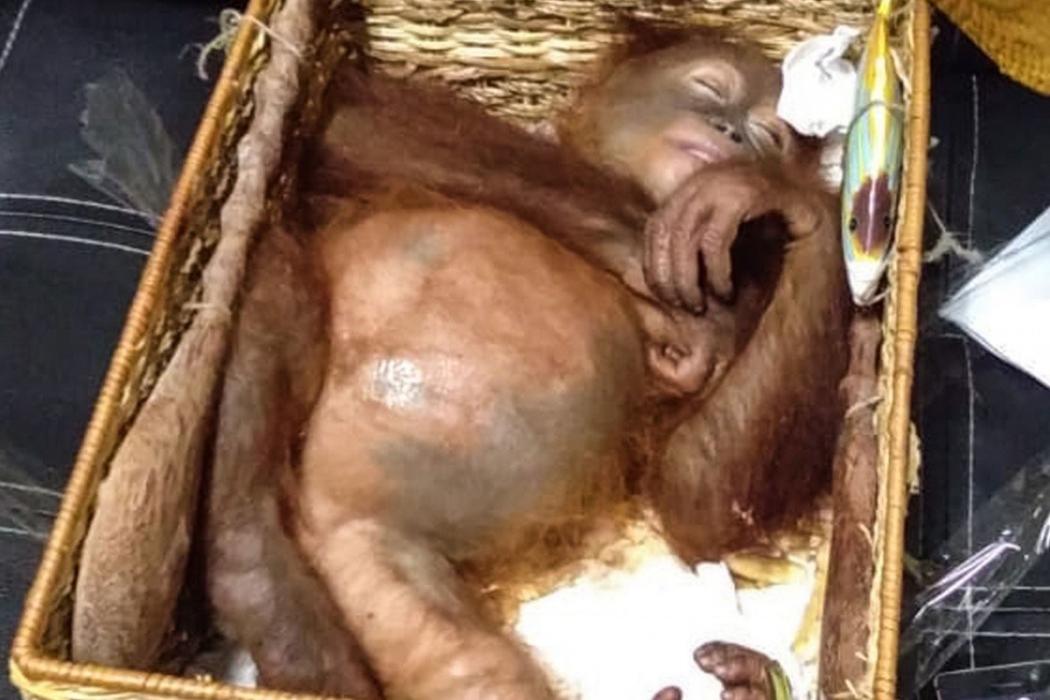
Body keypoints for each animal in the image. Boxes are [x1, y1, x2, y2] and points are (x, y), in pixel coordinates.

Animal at [204, 23, 849, 700]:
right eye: (709, 88)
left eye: (769, 137)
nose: (732, 135)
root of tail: (321, 517)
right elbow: (342, 120)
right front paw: (655, 257)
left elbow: (698, 500)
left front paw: (773, 195)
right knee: (274, 267)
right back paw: (257, 572)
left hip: (381, 569)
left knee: (475, 671)